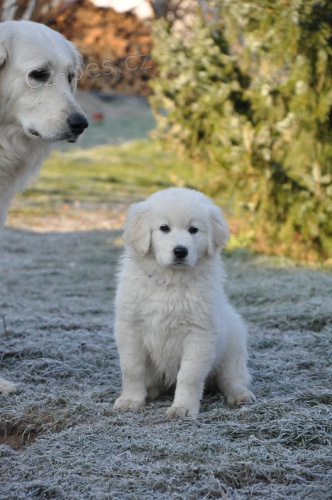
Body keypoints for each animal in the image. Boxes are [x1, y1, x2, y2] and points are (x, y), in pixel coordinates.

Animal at [113, 188, 255, 418]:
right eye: (164, 228)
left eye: (193, 230)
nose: (180, 251)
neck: (170, 281)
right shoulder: (130, 327)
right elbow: (131, 368)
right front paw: (130, 400)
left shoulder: (200, 333)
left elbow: (189, 375)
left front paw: (183, 408)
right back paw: (149, 390)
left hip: (234, 344)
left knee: (231, 378)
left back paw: (239, 394)